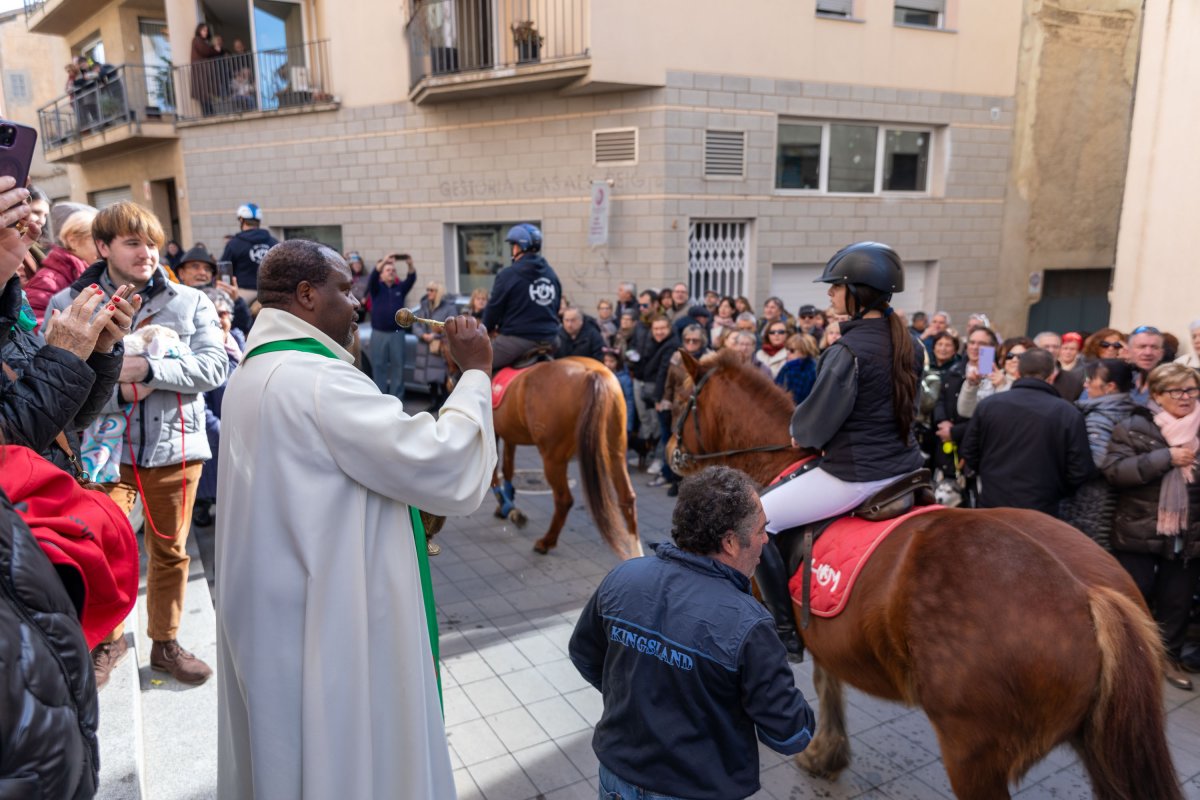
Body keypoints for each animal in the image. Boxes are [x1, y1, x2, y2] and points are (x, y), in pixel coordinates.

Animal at [492, 359, 643, 561]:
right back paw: (636, 553)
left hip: (553, 459)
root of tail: (593, 374)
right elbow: (507, 468)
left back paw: (545, 542)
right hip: (615, 452)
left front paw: (507, 507)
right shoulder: (508, 434)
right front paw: (507, 505)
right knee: (627, 498)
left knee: (564, 500)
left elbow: (493, 473)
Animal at [667, 352, 1180, 800]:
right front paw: (827, 753)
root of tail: (1090, 594)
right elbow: (828, 680)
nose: (672, 454)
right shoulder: (825, 632)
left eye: (680, 397)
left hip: (973, 751)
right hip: (1100, 748)